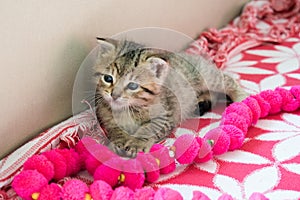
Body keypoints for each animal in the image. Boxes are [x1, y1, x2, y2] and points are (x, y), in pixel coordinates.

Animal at [92, 38, 247, 158]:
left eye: (132, 85)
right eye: (108, 78)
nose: (114, 95)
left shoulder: (166, 117)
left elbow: (148, 128)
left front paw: (136, 143)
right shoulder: (106, 118)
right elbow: (114, 129)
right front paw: (118, 141)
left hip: (207, 77)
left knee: (227, 80)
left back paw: (242, 97)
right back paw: (201, 103)